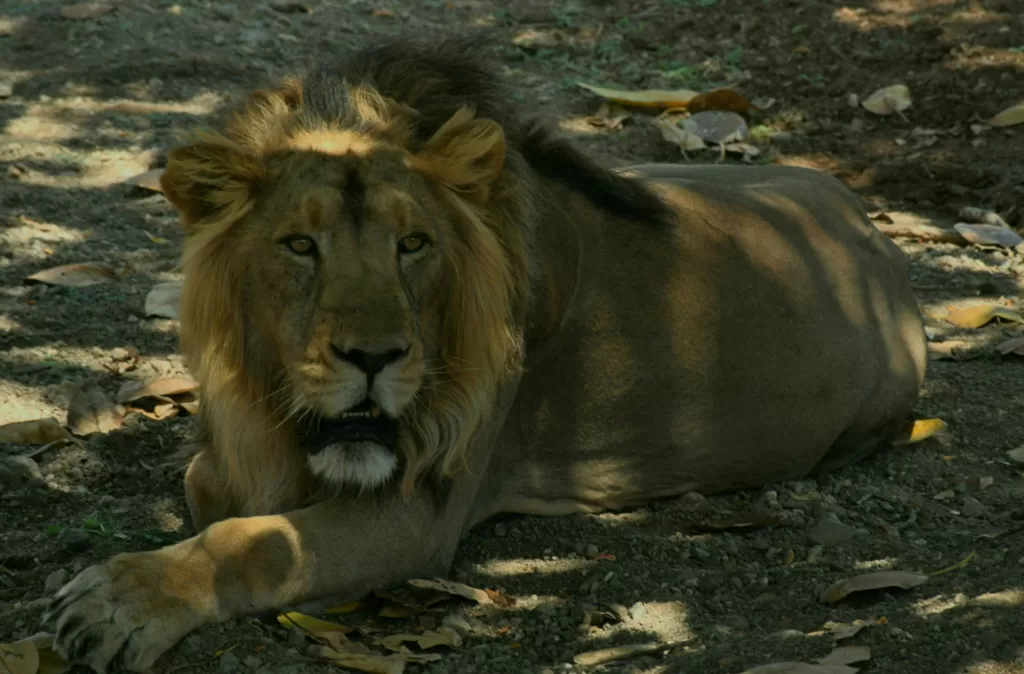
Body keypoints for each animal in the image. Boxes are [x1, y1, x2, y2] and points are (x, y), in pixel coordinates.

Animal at [44, 38, 929, 671]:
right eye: (299, 245)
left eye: (413, 245)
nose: (375, 357)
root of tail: (870, 225)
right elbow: (216, 493)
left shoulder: (418, 512)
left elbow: (256, 539)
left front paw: (120, 600)